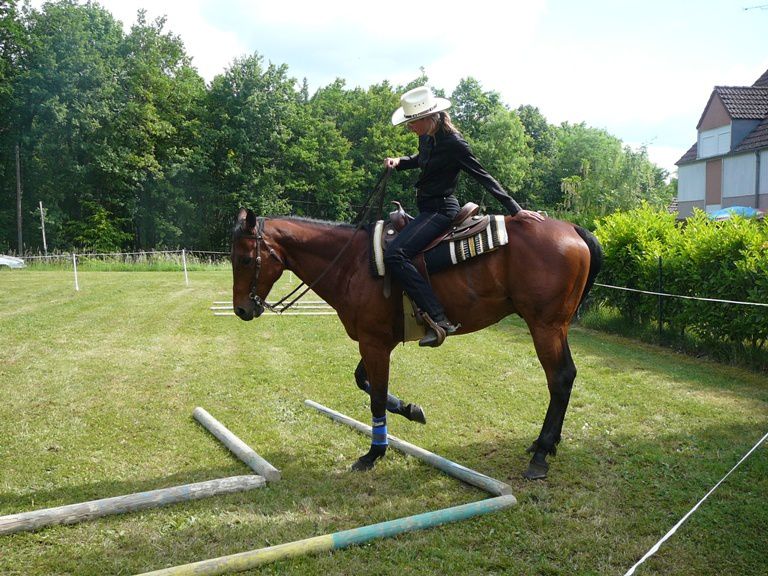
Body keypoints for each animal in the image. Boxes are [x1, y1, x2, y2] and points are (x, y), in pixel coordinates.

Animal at [231, 209, 604, 480]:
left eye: (246, 260)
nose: (241, 310)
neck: (353, 262)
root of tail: (573, 230)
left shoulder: (374, 343)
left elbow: (376, 395)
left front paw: (374, 453)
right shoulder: (378, 340)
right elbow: (364, 381)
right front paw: (411, 410)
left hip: (545, 326)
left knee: (560, 379)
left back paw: (541, 455)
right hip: (554, 327)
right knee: (566, 378)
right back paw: (544, 445)